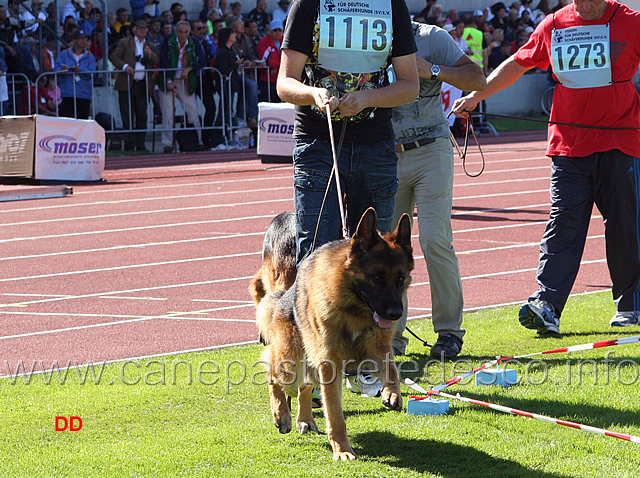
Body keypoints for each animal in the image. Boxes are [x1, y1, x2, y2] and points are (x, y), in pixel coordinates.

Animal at [256, 208, 416, 460]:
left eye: (400, 279)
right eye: (377, 277)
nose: (395, 313)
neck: (353, 308)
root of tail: (285, 295)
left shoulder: (379, 347)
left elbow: (391, 367)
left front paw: (391, 392)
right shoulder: (330, 363)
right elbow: (334, 413)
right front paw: (342, 450)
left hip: (311, 364)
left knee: (304, 387)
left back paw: (305, 419)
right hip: (292, 363)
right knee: (274, 373)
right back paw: (281, 414)